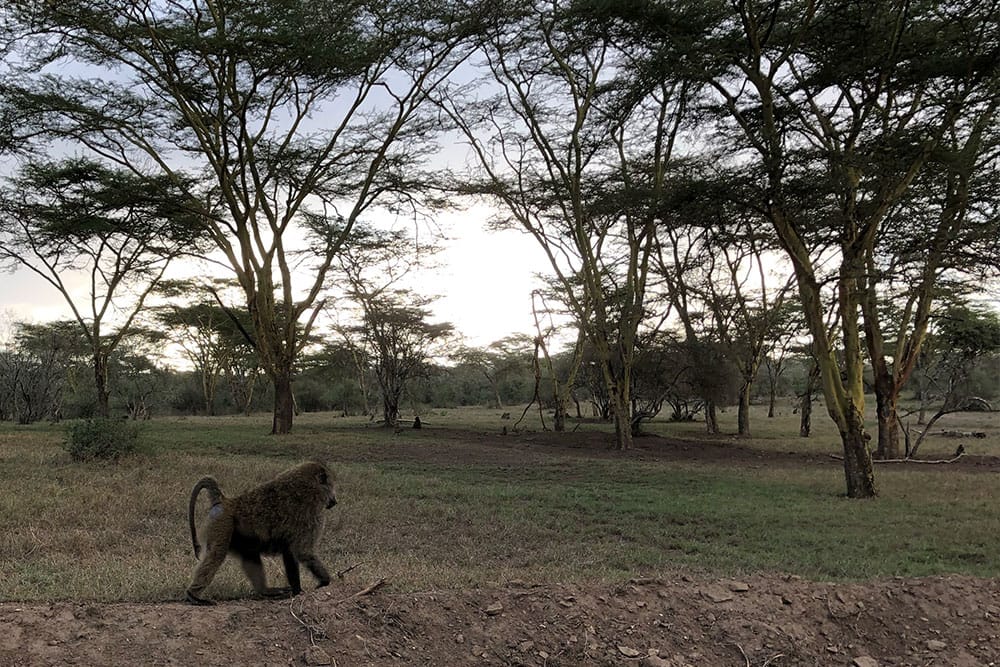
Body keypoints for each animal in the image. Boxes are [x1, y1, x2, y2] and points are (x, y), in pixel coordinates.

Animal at [185, 460, 337, 606]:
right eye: (330, 485)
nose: (335, 501)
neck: (310, 486)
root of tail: (225, 501)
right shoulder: (312, 517)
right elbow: (303, 552)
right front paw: (324, 581)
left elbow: (290, 553)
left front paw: (297, 591)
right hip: (223, 523)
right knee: (216, 555)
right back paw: (194, 596)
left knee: (250, 555)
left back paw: (266, 591)